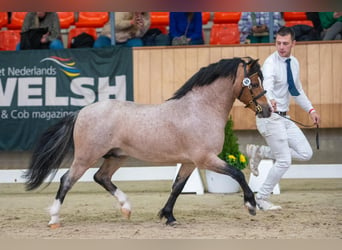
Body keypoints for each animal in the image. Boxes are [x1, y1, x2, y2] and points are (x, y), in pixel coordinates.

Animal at [23, 56, 270, 227]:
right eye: (254, 83)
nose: (268, 110)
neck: (200, 108)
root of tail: (81, 112)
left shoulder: (189, 162)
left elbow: (177, 187)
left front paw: (168, 216)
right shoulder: (205, 159)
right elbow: (238, 174)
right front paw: (251, 205)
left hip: (116, 156)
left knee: (101, 177)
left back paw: (126, 208)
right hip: (86, 156)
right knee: (67, 180)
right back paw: (54, 218)